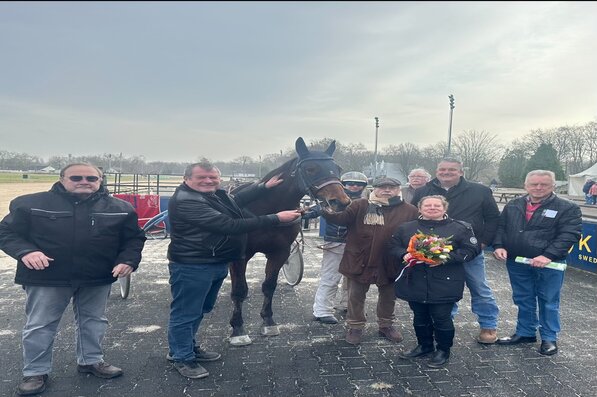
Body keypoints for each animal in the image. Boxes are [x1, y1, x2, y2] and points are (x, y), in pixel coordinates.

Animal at [227, 136, 350, 344]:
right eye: (311, 169)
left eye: (338, 168)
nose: (341, 201)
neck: (269, 212)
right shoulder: (241, 255)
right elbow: (239, 289)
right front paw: (237, 328)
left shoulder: (280, 251)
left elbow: (269, 286)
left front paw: (268, 321)